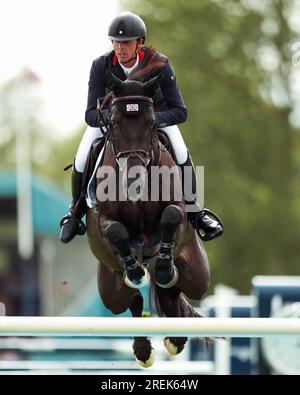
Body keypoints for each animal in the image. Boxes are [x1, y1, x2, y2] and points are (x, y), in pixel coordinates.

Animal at [85, 72, 210, 368]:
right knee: (131, 299)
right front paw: (134, 270)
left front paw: (163, 267)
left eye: (152, 122)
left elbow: (171, 216)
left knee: (176, 287)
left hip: (197, 273)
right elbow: (117, 232)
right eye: (114, 123)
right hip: (110, 289)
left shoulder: (177, 210)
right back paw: (144, 347)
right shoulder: (103, 220)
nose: (134, 179)